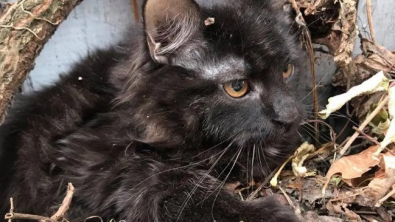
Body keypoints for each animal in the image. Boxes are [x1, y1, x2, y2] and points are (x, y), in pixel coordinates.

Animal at [0, 0, 304, 221]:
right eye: (238, 87)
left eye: (286, 70)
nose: (289, 117)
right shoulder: (86, 159)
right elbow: (176, 185)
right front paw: (265, 214)